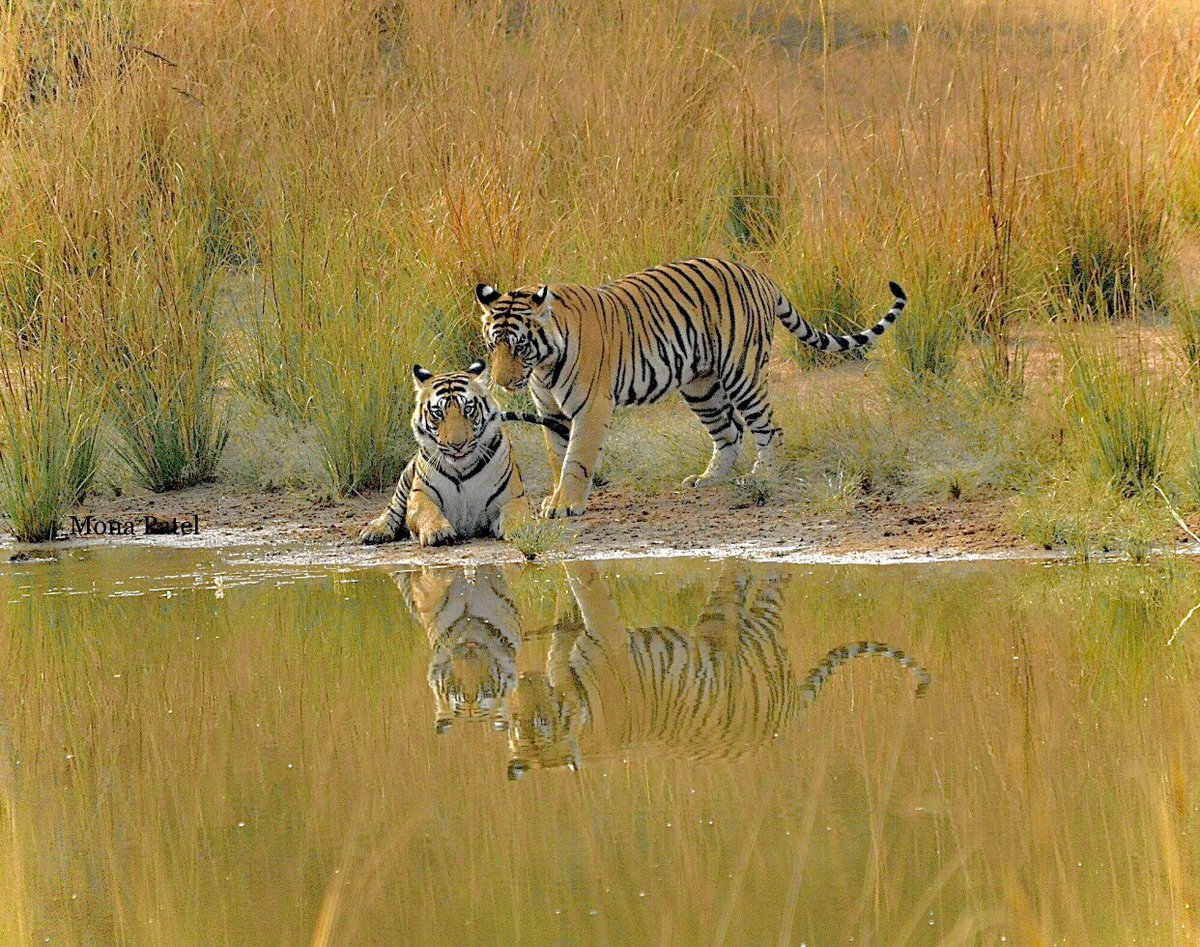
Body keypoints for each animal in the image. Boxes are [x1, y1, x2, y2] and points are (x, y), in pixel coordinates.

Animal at [472, 256, 902, 516]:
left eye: (520, 346)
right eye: (493, 345)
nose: (502, 383)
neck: (543, 365)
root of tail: (757, 273)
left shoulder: (590, 407)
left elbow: (577, 459)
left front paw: (567, 504)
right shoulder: (551, 412)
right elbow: (557, 457)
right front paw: (557, 498)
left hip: (742, 373)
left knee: (769, 429)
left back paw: (761, 477)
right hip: (701, 386)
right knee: (729, 432)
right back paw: (709, 479)